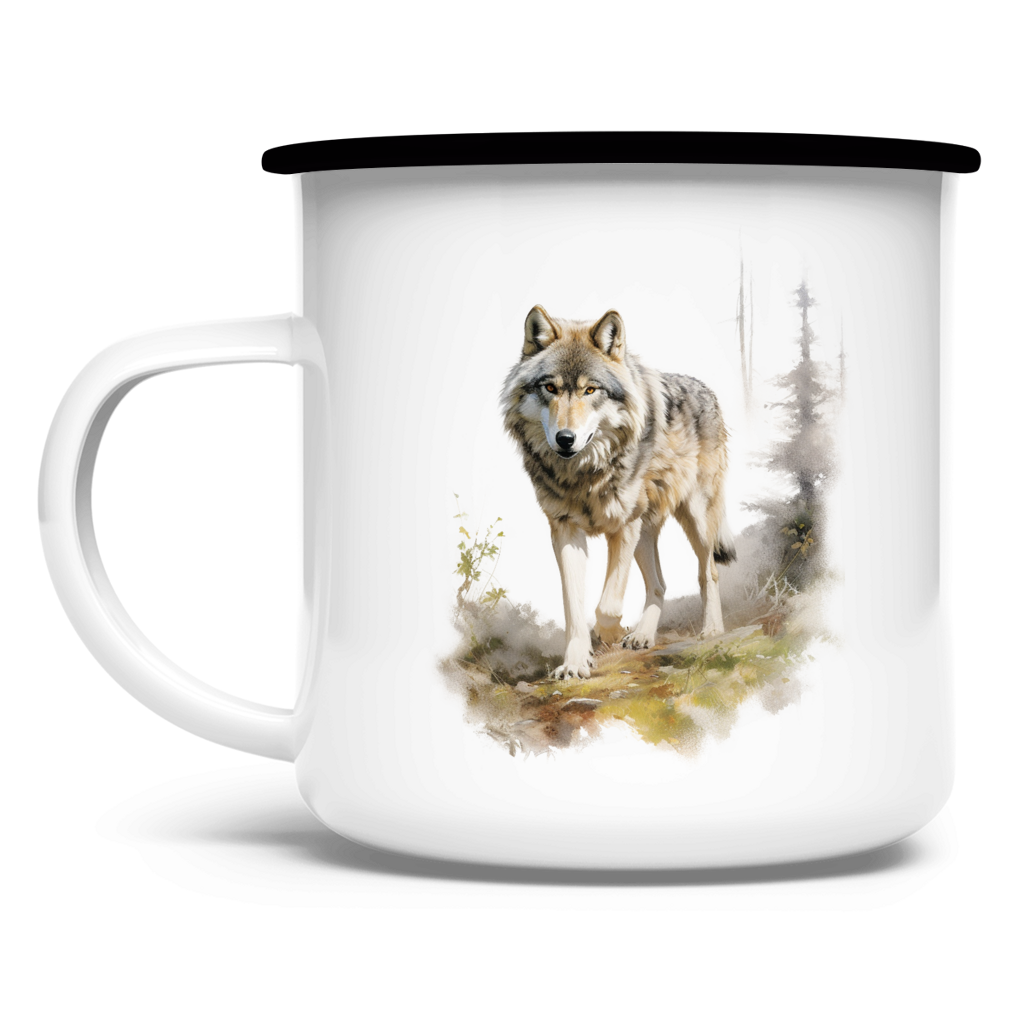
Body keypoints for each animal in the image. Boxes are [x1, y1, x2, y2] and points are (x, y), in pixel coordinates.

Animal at [496, 304, 738, 680]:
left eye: (590, 391)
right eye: (550, 387)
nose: (565, 439)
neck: (583, 475)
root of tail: (709, 389)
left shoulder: (622, 526)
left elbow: (607, 605)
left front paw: (607, 634)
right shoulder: (566, 530)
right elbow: (574, 609)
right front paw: (575, 663)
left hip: (692, 519)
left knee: (707, 572)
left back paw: (711, 630)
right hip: (645, 533)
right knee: (660, 585)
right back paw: (642, 636)